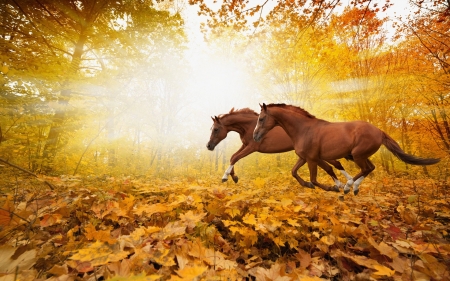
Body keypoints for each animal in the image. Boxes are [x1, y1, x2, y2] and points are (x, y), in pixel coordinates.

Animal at [206, 107, 354, 190]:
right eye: (211, 129)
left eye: (216, 129)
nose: (209, 146)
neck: (249, 126)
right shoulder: (245, 145)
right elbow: (233, 157)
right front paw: (234, 177)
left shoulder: (252, 147)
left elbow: (235, 158)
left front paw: (225, 177)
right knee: (335, 164)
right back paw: (344, 184)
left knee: (336, 163)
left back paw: (346, 183)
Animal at [253, 103, 440, 195]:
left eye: (261, 119)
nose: (255, 136)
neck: (303, 129)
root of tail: (379, 131)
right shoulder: (305, 158)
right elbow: (295, 172)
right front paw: (308, 185)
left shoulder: (312, 159)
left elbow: (316, 178)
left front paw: (333, 187)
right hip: (360, 155)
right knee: (370, 168)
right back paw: (354, 188)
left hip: (357, 155)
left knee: (366, 169)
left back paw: (348, 187)